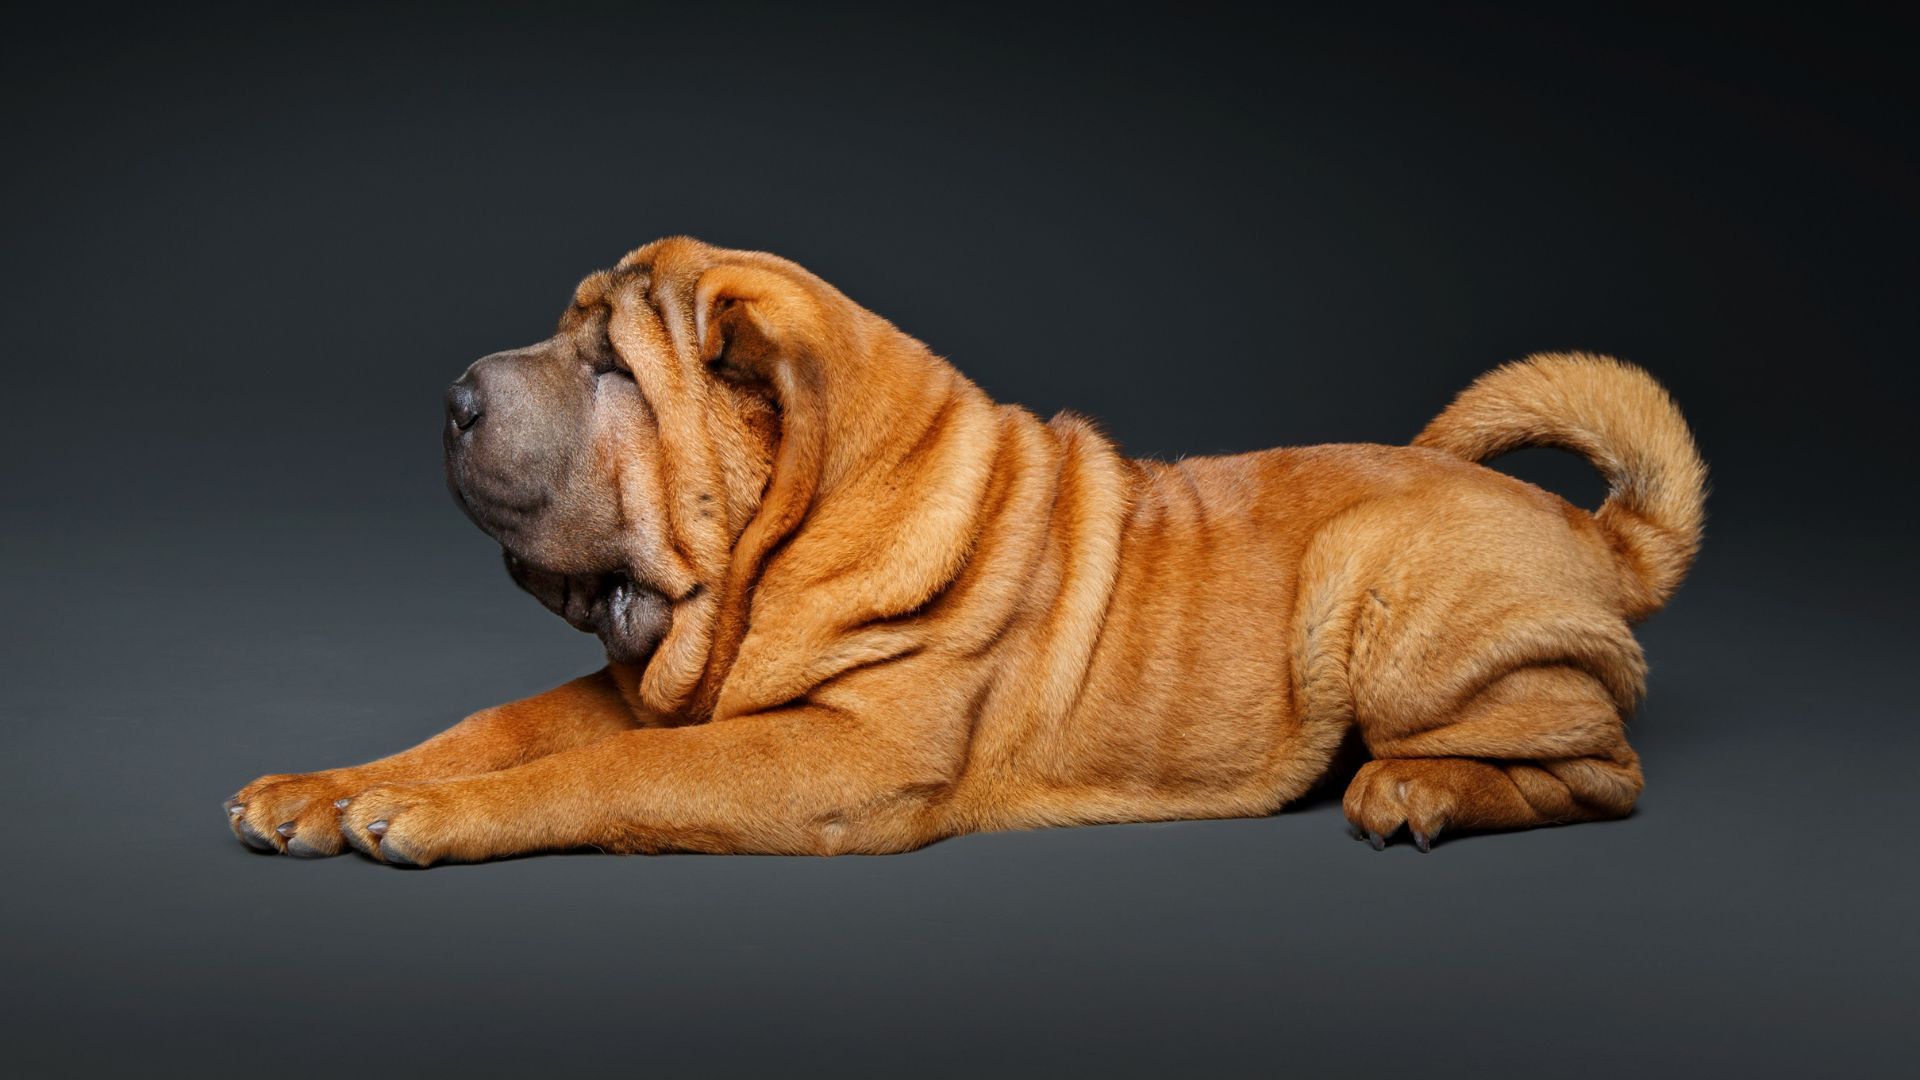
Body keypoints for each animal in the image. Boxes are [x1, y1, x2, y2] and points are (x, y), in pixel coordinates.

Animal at [217, 237, 1704, 864]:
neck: (789, 543)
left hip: (1376, 587)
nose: (453, 395)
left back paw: (1417, 789)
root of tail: (1596, 529)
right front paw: (321, 789)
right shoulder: (664, 688)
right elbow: (501, 727)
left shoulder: (839, 761)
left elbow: (608, 773)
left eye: (614, 370)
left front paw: (421, 817)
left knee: (1604, 773)